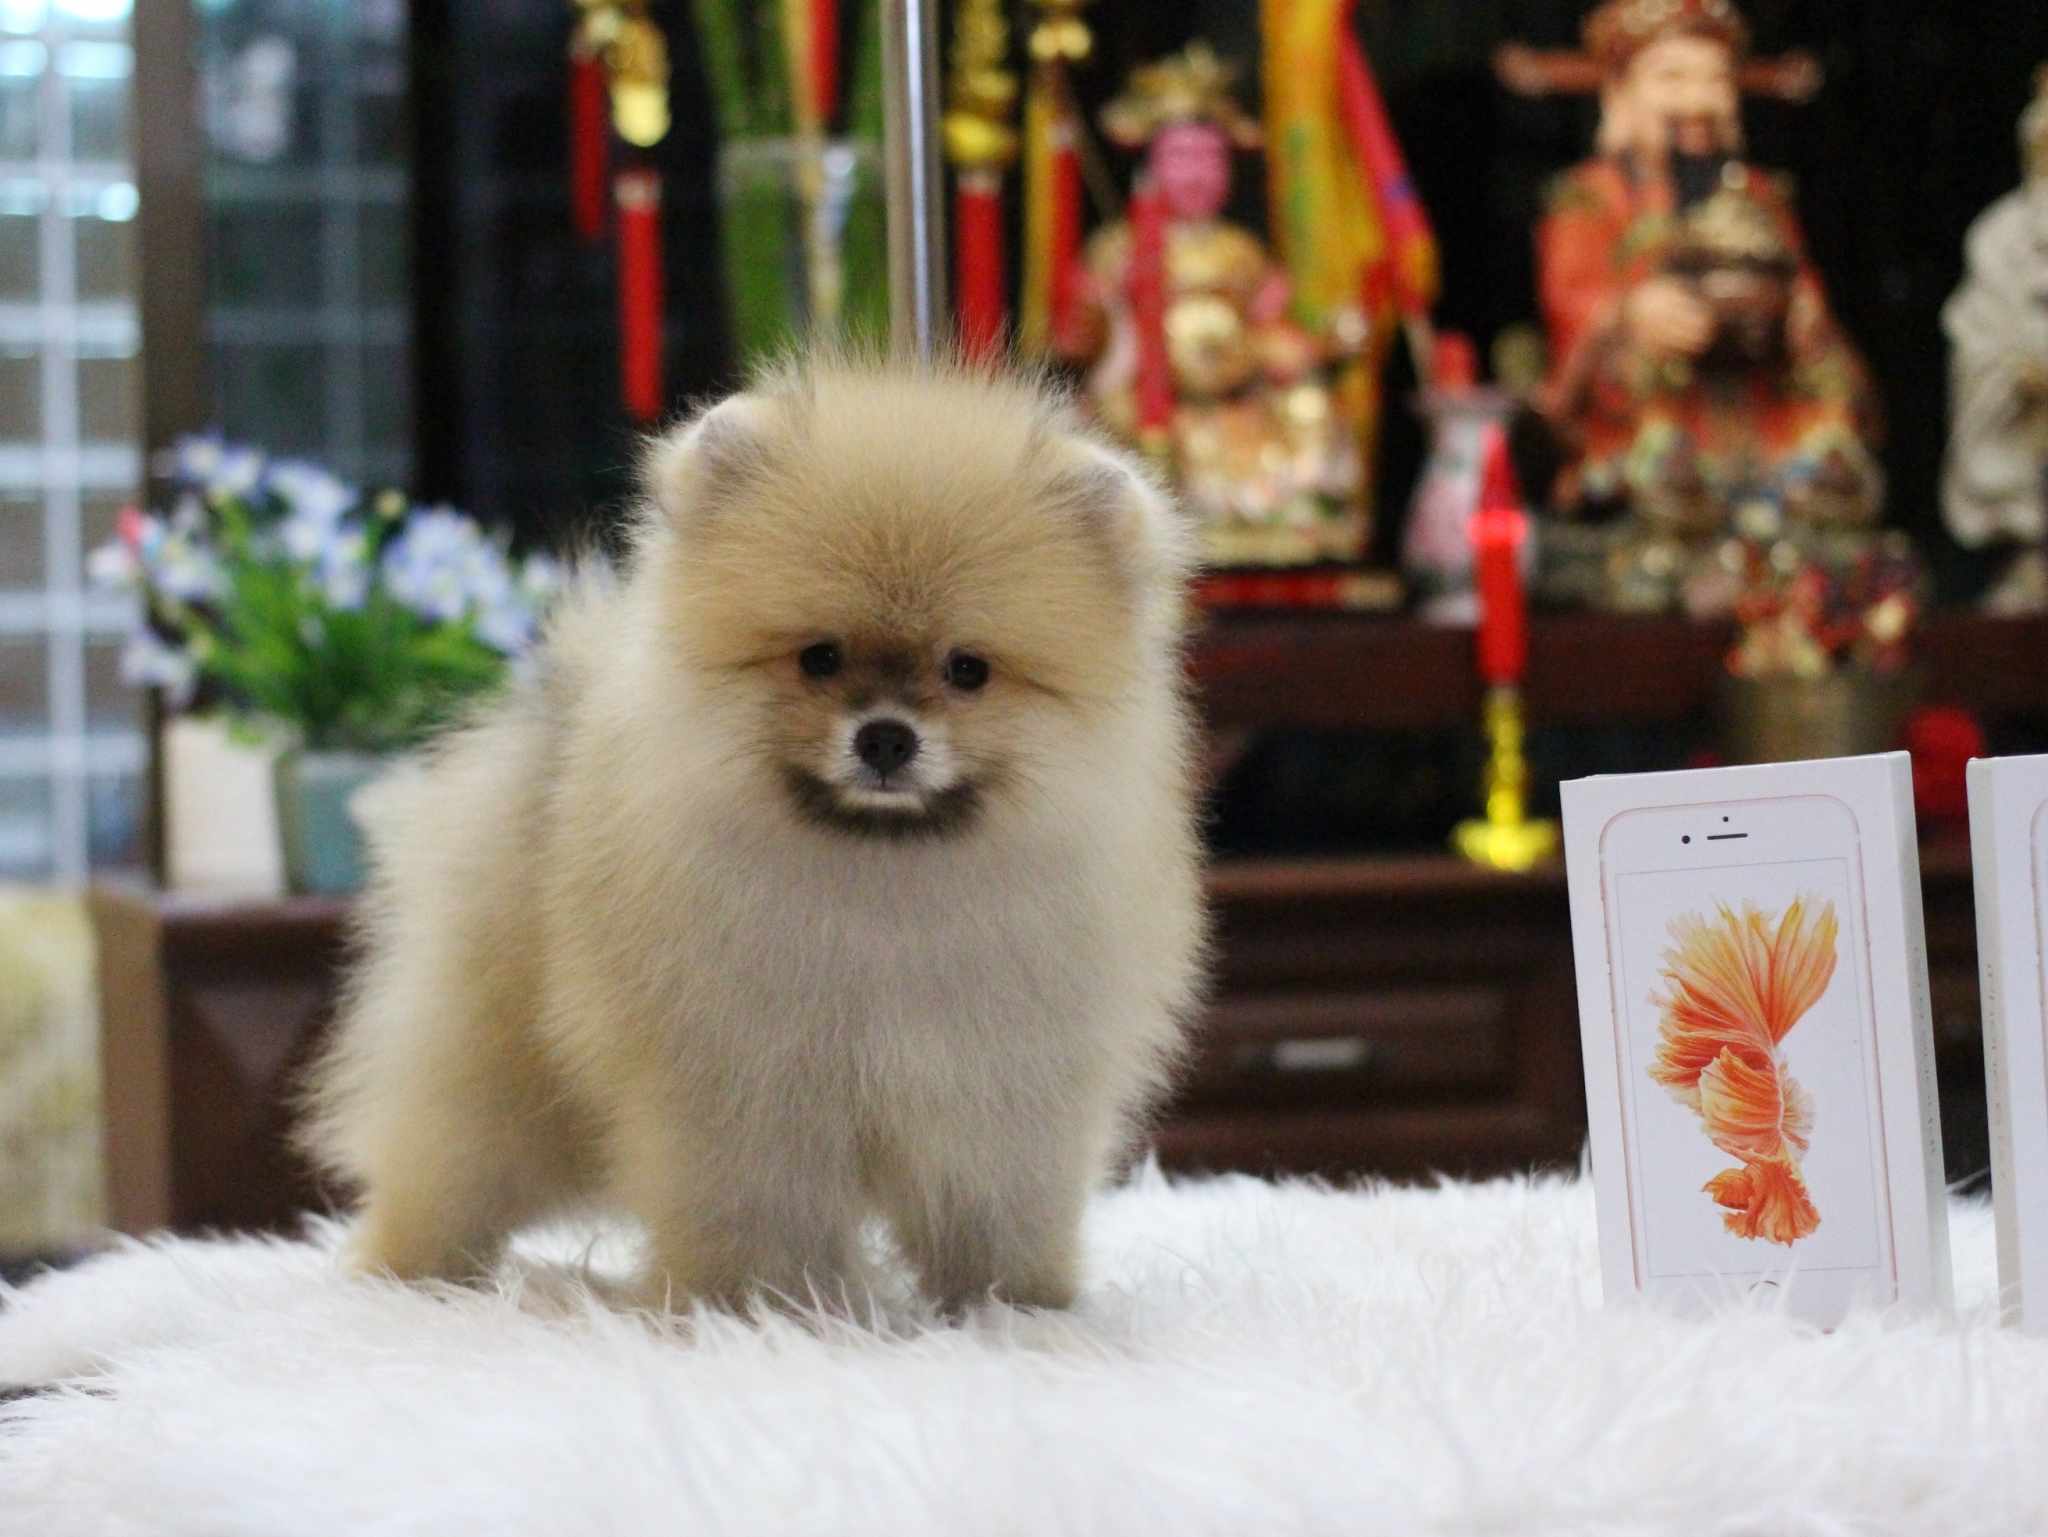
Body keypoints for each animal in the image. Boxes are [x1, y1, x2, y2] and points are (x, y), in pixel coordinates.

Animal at [302, 355, 1207, 1312]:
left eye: (969, 669)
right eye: (819, 657)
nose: (886, 737)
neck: (883, 888)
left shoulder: (1003, 1094)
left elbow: (999, 1206)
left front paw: (1013, 1304)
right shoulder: (748, 1093)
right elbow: (754, 1207)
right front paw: (756, 1305)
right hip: (491, 1063)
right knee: (446, 1164)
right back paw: (415, 1269)